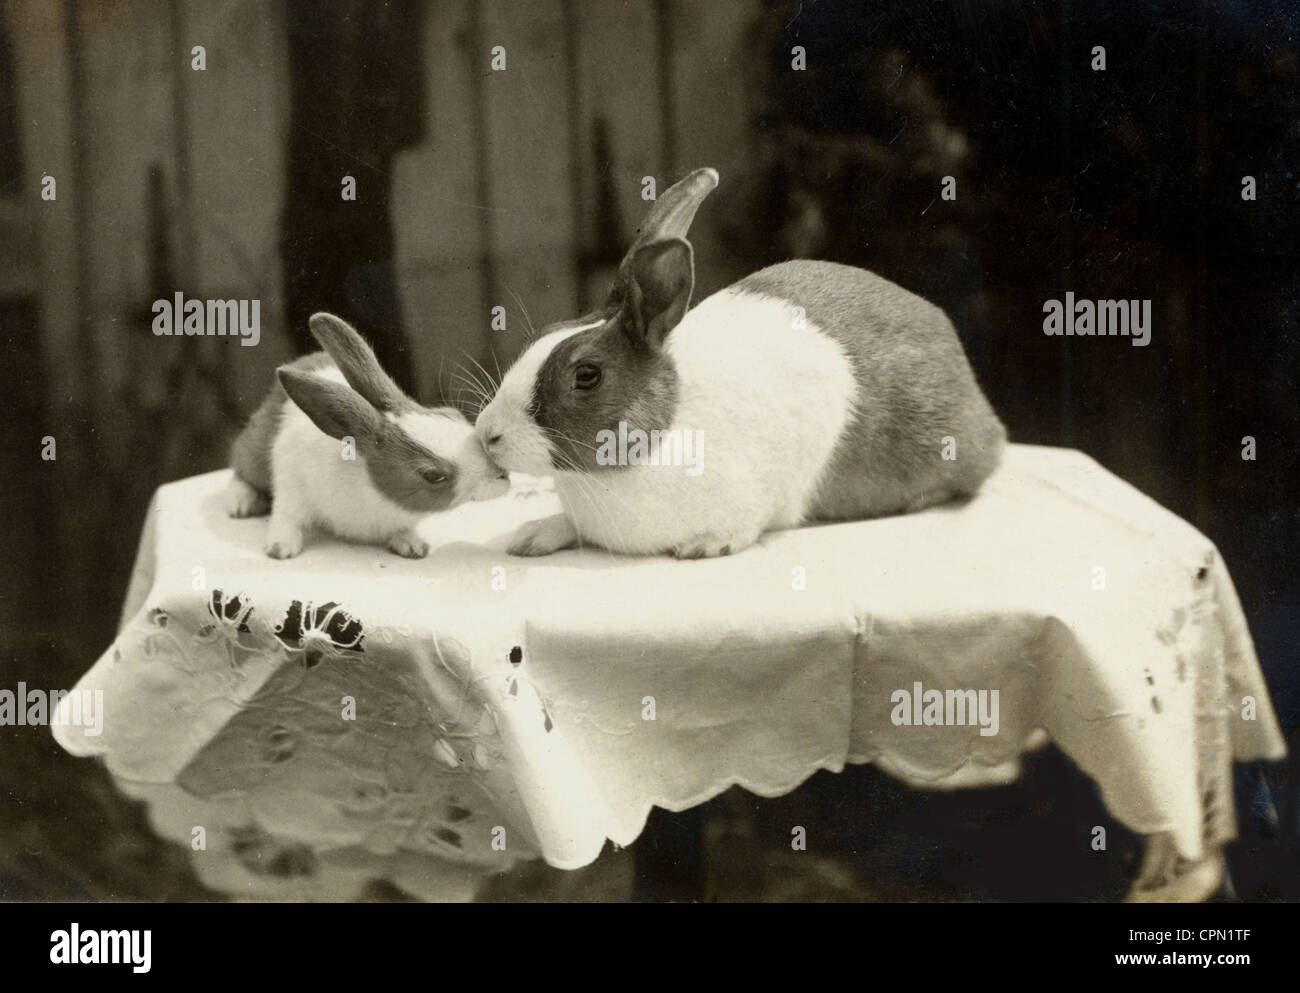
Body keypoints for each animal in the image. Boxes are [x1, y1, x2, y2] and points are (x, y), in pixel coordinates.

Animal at [225, 312, 510, 559]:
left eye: (452, 414)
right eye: (433, 476)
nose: (502, 474)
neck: (373, 491)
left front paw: (412, 545)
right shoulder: (292, 480)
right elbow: (286, 516)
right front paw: (280, 548)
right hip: (254, 448)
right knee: (241, 466)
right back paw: (240, 503)